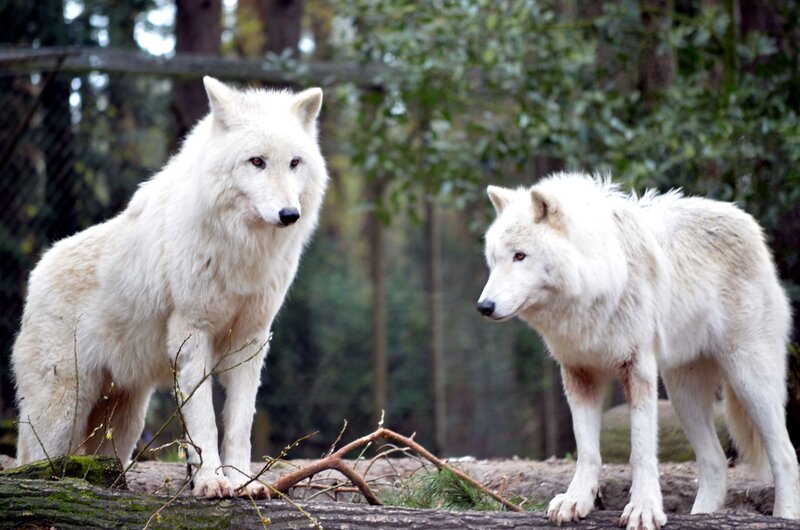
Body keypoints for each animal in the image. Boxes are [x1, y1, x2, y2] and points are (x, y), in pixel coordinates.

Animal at [12, 77, 328, 498]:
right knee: (33, 460)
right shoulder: (192, 334)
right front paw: (211, 481)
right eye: (257, 162)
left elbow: (240, 424)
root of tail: (36, 275)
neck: (241, 250)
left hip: (123, 419)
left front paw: (244, 482)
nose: (289, 214)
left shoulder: (251, 340)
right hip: (62, 413)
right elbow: (204, 423)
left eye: (295, 163)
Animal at [477, 173, 800, 529]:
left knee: (785, 455)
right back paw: (702, 515)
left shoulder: (638, 370)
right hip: (683, 395)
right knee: (714, 461)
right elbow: (587, 450)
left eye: (520, 256)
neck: (595, 281)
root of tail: (746, 222)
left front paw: (643, 508)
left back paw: (784, 516)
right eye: (494, 259)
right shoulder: (578, 374)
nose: (484, 306)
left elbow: (641, 451)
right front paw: (577, 500)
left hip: (749, 381)